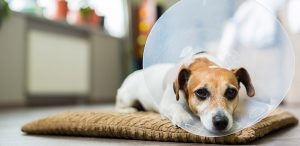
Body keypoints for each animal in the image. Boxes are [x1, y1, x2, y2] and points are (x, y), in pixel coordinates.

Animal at [116, 52, 254, 132]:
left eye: (231, 92)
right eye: (201, 92)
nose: (221, 122)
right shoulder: (167, 104)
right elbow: (175, 107)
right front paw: (183, 116)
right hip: (127, 97)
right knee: (119, 105)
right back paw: (128, 110)